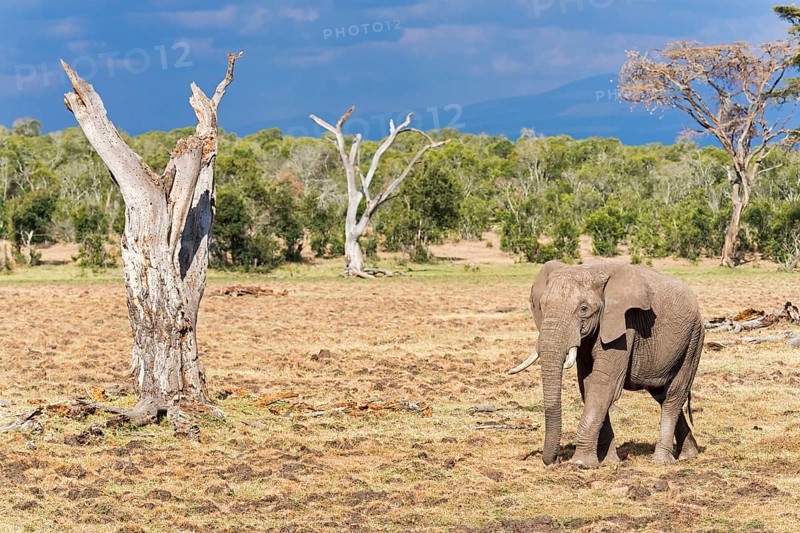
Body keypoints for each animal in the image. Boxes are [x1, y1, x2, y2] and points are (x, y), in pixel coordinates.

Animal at [508, 260, 704, 467]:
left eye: (583, 309)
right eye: (542, 306)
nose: (556, 460)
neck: (592, 271)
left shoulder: (624, 325)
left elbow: (603, 384)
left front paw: (580, 464)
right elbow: (587, 384)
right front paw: (608, 462)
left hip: (694, 339)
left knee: (674, 395)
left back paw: (661, 461)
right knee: (661, 394)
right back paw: (689, 454)